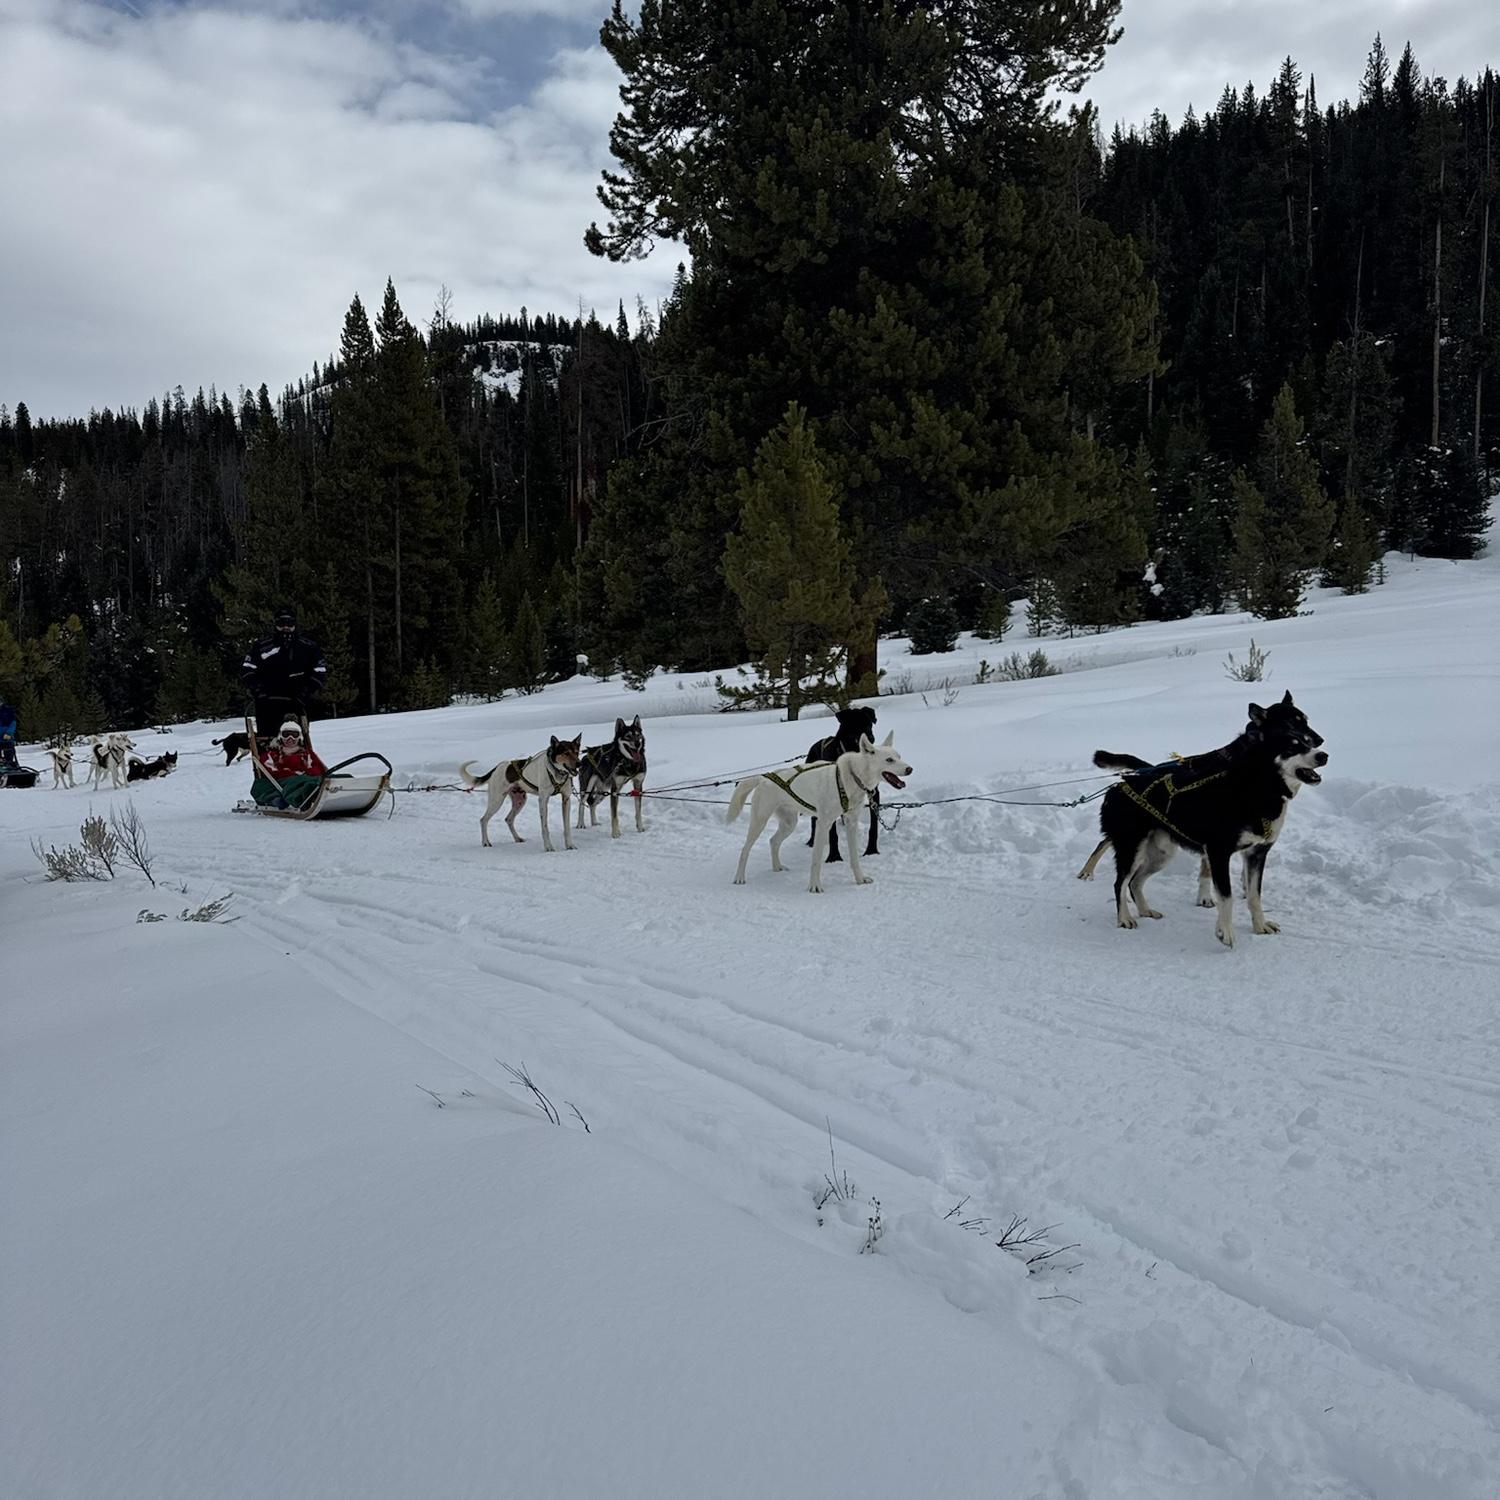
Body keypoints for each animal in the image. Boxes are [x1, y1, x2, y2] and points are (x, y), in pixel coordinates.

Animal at [728, 731, 911, 892]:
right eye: (889, 760)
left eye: (899, 756)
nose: (910, 769)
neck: (849, 778)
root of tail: (763, 778)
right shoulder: (824, 824)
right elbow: (816, 859)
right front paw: (814, 886)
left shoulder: (851, 823)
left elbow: (854, 857)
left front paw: (860, 879)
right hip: (759, 821)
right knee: (745, 849)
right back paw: (739, 877)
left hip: (789, 823)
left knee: (773, 841)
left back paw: (777, 867)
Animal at [804, 705, 880, 862]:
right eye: (855, 725)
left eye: (869, 724)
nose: (870, 739)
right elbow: (833, 834)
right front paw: (834, 856)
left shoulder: (873, 793)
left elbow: (874, 826)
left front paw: (871, 850)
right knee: (814, 819)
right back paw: (812, 840)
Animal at [1094, 692, 1328, 948]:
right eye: (1291, 747)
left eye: (1305, 741)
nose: (1323, 753)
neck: (1256, 789)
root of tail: (1119, 785)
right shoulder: (1218, 853)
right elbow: (1226, 896)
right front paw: (1225, 932)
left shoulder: (1256, 854)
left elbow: (1254, 895)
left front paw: (1260, 925)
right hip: (1132, 850)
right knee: (1120, 883)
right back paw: (1124, 918)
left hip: (1162, 854)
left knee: (1135, 882)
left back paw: (1146, 910)